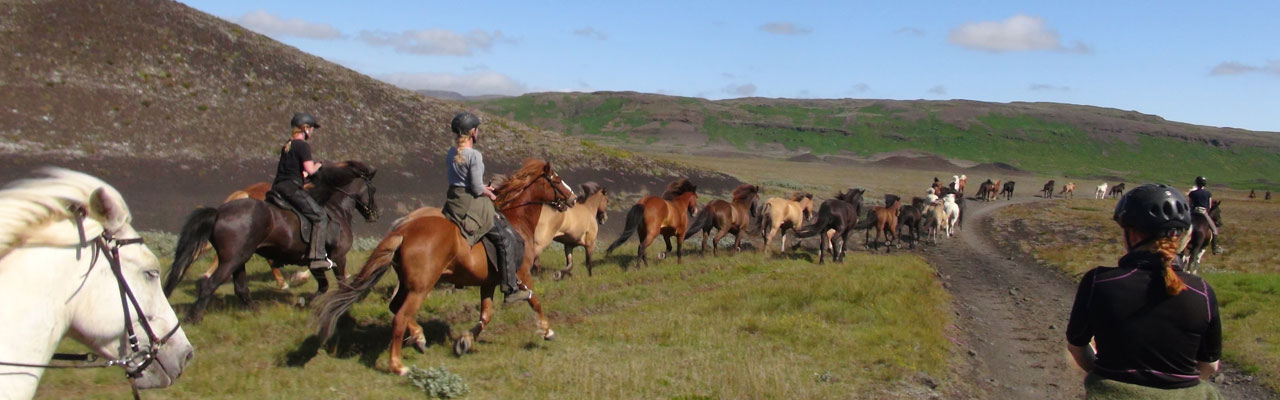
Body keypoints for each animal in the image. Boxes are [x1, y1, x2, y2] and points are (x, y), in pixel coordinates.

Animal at [162, 160, 376, 323]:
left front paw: (303, 301)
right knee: (212, 283)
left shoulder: (315, 261)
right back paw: (195, 316)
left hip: (240, 258)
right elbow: (341, 285)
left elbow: (323, 285)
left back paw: (256, 310)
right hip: (234, 259)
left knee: (240, 287)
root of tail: (219, 212)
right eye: (373, 190)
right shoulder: (338, 257)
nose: (375, 215)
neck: (335, 208)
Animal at [309, 158, 570, 374]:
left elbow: (486, 315)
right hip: (422, 286)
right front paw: (547, 331)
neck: (517, 222)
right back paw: (398, 365)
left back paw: (418, 338)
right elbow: (534, 301)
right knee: (400, 316)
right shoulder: (522, 274)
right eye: (556, 179)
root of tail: (404, 231)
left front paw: (464, 342)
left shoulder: (488, 283)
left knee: (395, 307)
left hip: (409, 283)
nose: (572, 198)